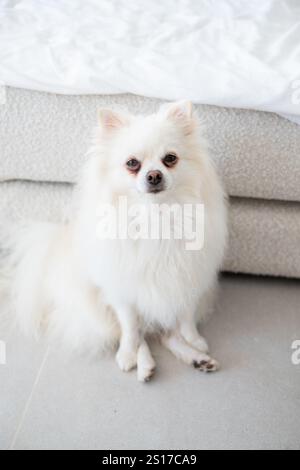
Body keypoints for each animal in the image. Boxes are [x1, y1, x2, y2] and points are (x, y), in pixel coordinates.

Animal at [0, 100, 227, 382]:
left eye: (170, 159)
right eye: (132, 163)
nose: (154, 175)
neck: (155, 214)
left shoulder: (188, 278)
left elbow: (185, 317)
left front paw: (194, 339)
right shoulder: (122, 289)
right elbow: (129, 327)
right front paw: (128, 354)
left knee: (165, 335)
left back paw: (197, 358)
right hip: (96, 307)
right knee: (136, 333)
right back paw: (143, 363)